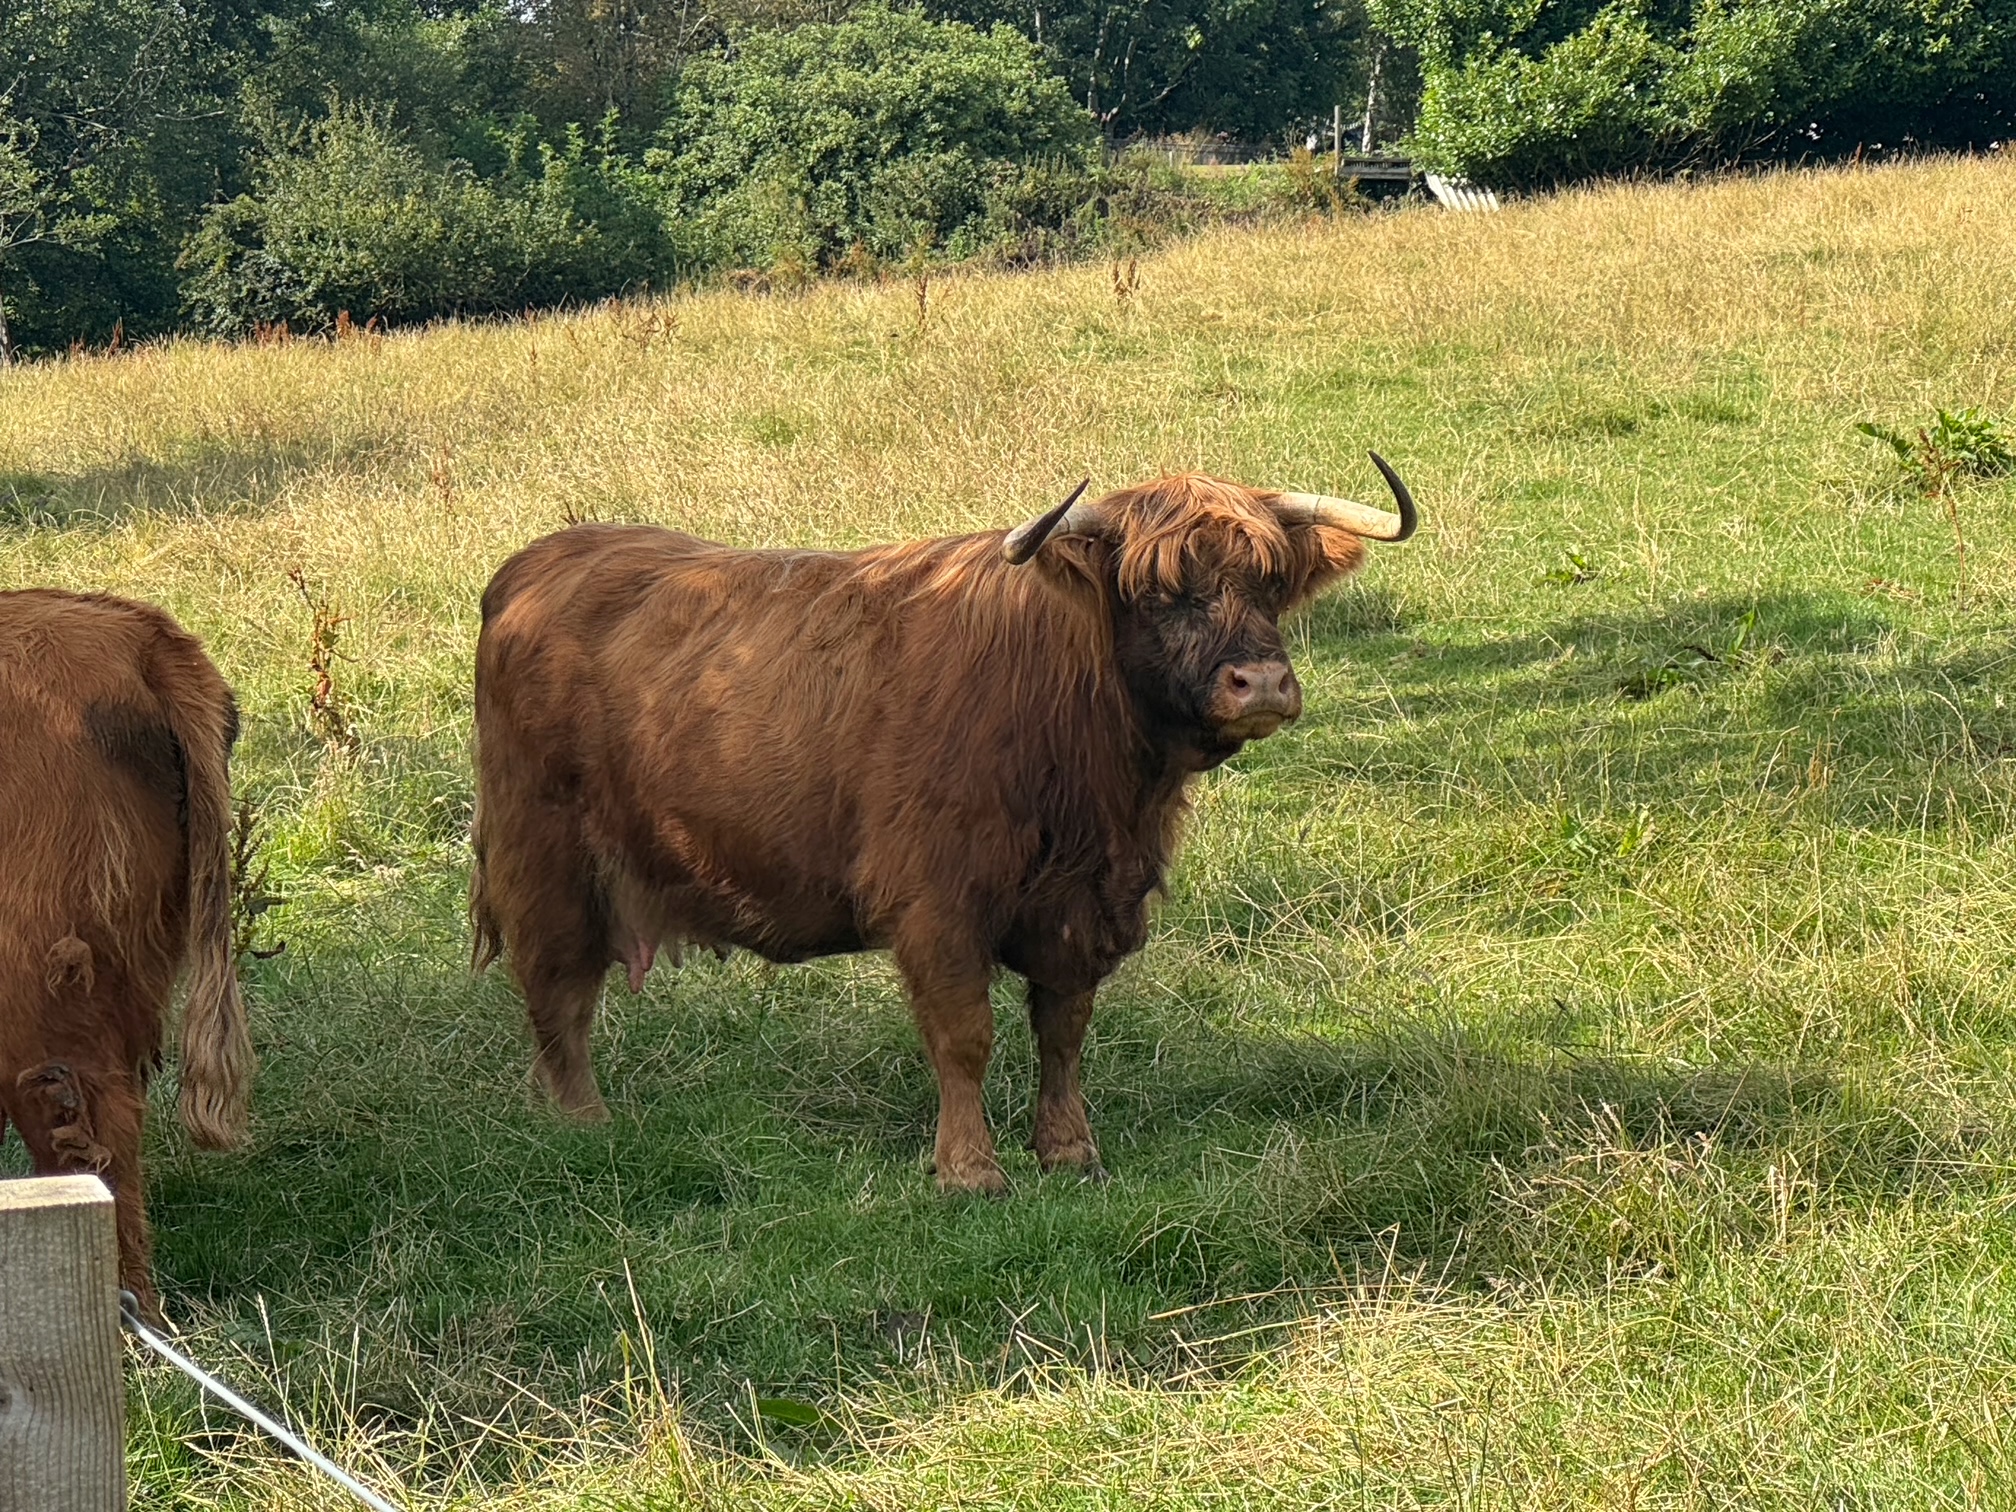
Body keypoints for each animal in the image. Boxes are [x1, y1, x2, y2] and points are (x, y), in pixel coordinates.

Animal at [470, 458, 1416, 1191]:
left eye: (1271, 585)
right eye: (1157, 593)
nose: (1262, 684)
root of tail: (541, 560)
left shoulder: (1084, 905)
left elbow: (1063, 1031)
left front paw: (1069, 1150)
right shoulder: (937, 901)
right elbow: (964, 1036)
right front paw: (970, 1169)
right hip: (543, 856)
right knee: (558, 993)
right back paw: (583, 1122)